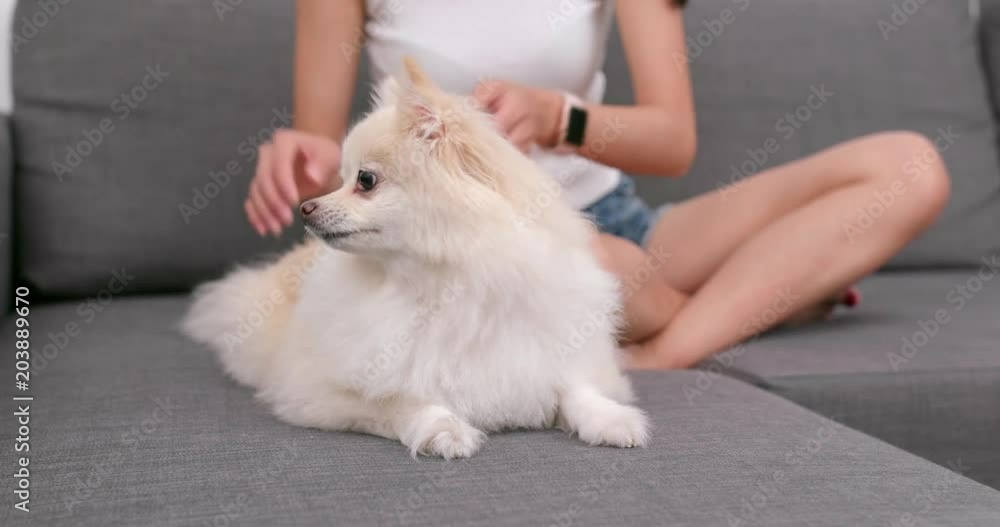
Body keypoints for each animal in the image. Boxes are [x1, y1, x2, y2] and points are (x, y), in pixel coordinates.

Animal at [182, 58, 650, 458]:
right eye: (340, 178)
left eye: (365, 180)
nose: (305, 208)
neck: (440, 283)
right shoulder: (321, 388)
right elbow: (402, 400)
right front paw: (443, 429)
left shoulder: (545, 348)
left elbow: (574, 386)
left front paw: (610, 418)